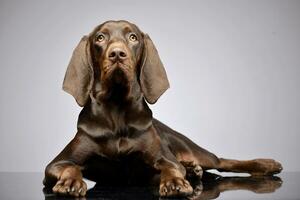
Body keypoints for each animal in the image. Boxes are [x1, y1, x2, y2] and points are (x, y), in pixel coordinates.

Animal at [43, 19, 282, 198]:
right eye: (100, 38)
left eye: (133, 37)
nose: (117, 54)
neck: (117, 108)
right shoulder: (55, 164)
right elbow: (70, 167)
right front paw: (71, 182)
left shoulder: (163, 158)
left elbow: (171, 167)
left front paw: (175, 182)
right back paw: (193, 171)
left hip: (193, 149)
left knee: (222, 161)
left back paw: (267, 164)